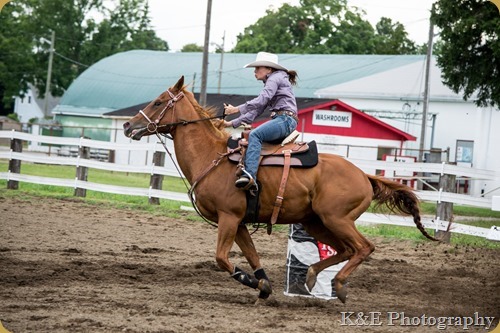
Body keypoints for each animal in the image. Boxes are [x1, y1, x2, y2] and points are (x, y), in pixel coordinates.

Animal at [123, 76, 436, 304]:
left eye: (159, 102)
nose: (127, 124)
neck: (211, 156)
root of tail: (363, 174)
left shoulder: (228, 218)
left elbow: (222, 259)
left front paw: (250, 281)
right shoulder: (239, 222)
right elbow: (252, 255)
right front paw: (263, 286)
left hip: (336, 219)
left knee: (363, 247)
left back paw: (338, 285)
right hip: (316, 222)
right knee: (344, 249)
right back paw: (311, 277)